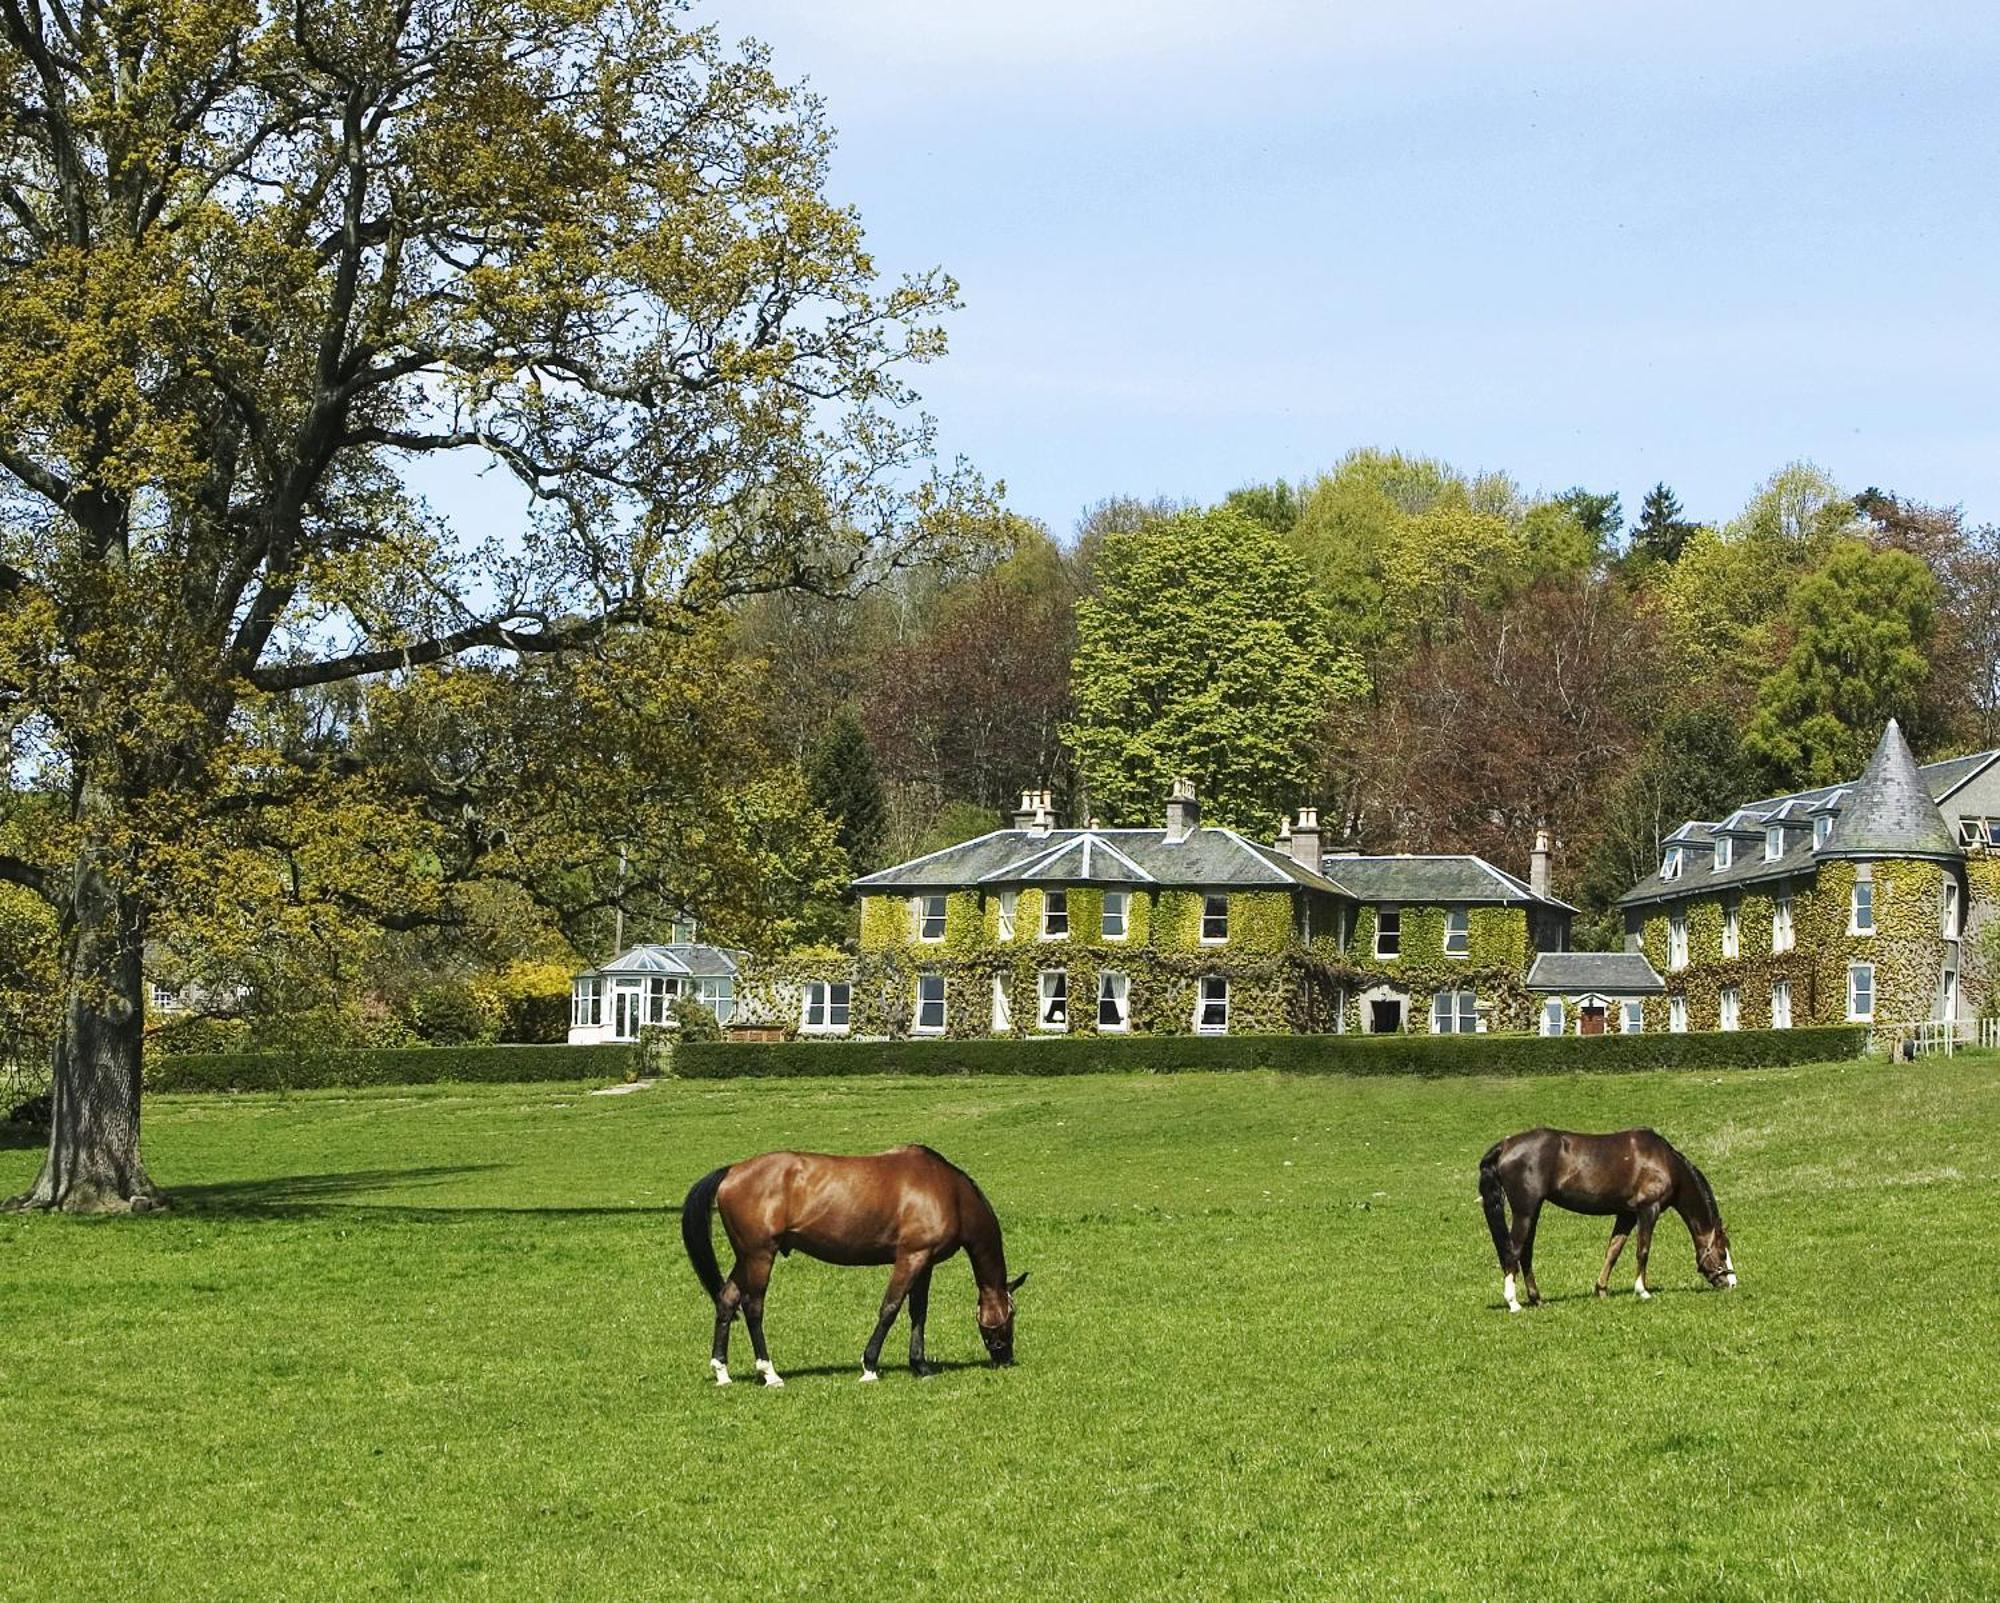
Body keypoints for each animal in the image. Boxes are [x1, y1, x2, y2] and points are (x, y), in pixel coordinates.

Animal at [688, 1143, 1032, 1383]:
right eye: (1012, 1313)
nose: (1006, 1357)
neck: (949, 1192)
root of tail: (732, 1171)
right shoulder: (911, 1257)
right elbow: (890, 1309)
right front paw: (870, 1366)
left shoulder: (925, 1262)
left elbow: (918, 1312)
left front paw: (920, 1365)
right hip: (760, 1256)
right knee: (753, 1307)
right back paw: (769, 1373)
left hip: (746, 1257)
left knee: (727, 1299)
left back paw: (722, 1372)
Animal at [1472, 1127, 1736, 1311]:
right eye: (1722, 1253)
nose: (1732, 1283)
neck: (1664, 1162)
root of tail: (1505, 1145)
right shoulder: (1647, 1210)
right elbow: (1642, 1251)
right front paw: (1642, 1291)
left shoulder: (1626, 1215)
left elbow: (1613, 1251)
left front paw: (1601, 1290)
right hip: (1524, 1211)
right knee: (1513, 1252)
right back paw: (1513, 1303)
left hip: (1533, 1211)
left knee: (1526, 1253)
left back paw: (1537, 1299)